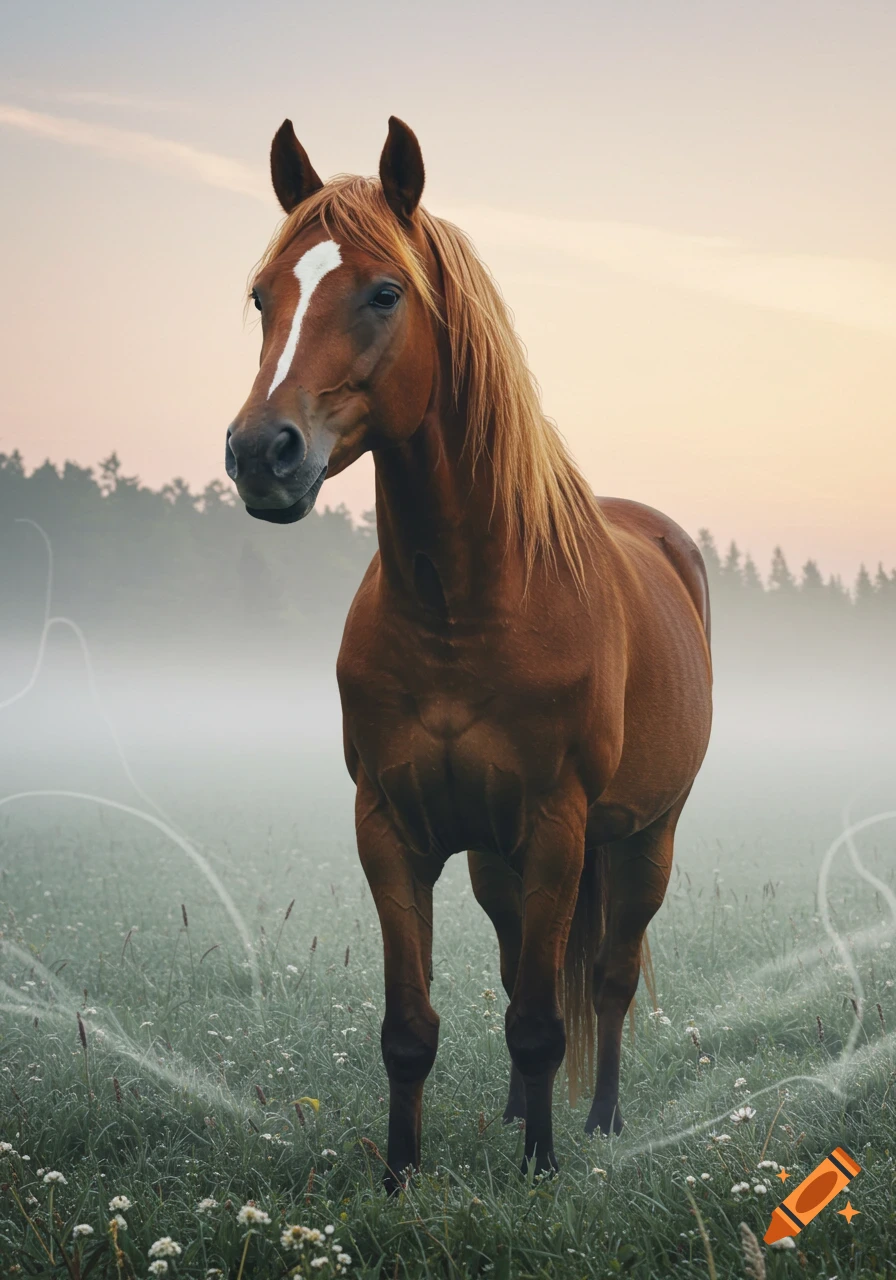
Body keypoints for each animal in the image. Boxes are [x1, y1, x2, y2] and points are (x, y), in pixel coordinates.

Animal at [225, 116, 712, 1188]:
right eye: (262, 296)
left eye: (384, 292)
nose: (260, 455)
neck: (464, 609)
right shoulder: (390, 829)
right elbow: (414, 1026)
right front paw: (403, 1177)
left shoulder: (560, 829)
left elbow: (543, 1020)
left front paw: (539, 1171)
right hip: (497, 861)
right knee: (516, 965)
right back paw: (513, 1112)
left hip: (642, 840)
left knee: (606, 981)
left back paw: (599, 1121)